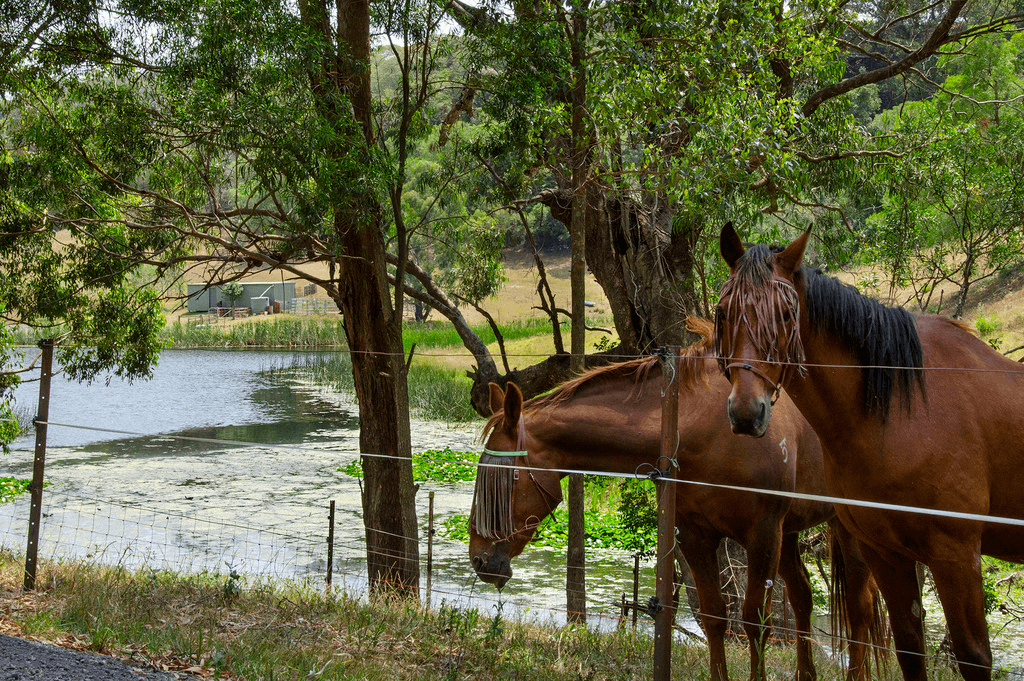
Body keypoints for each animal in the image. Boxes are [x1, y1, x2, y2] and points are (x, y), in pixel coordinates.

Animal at [468, 331, 884, 679]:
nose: (479, 560)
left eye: (502, 476)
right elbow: (715, 616)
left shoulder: (762, 533)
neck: (705, 424)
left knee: (859, 610)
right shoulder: (696, 536)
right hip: (791, 534)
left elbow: (756, 622)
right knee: (802, 598)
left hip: (845, 531)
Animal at [716, 225, 1024, 679]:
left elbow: (973, 656)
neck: (903, 408)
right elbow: (910, 648)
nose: (744, 412)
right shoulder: (887, 553)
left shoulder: (956, 553)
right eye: (723, 313)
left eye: (787, 316)